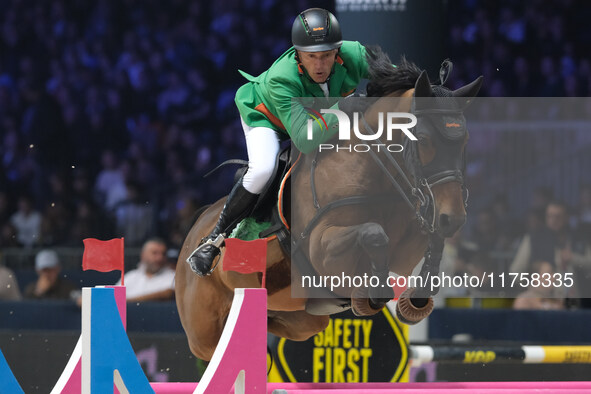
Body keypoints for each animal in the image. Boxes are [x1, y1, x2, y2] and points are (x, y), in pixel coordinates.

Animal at [175, 50, 480, 362]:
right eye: (425, 140)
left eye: (466, 141)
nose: (454, 218)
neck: (375, 173)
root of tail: (197, 226)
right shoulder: (322, 246)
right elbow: (373, 233)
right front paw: (373, 294)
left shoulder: (407, 249)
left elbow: (431, 239)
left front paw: (418, 296)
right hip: (203, 335)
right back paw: (205, 254)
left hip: (304, 320)